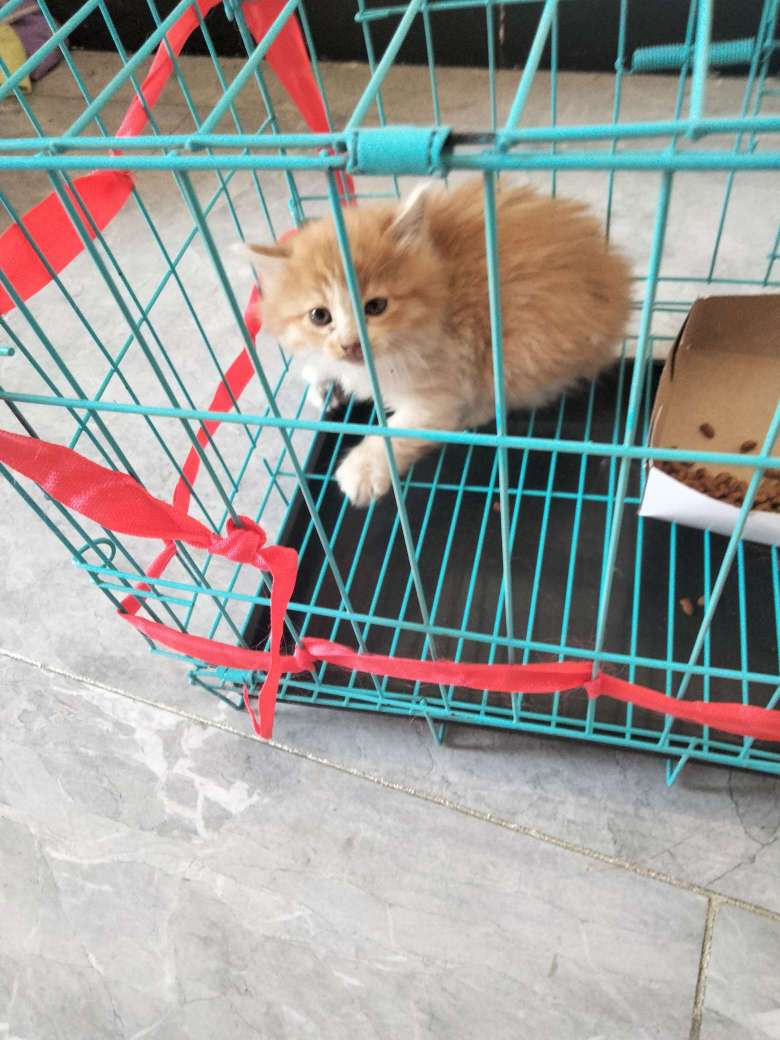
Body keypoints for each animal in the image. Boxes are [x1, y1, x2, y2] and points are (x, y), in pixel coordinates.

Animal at [243, 177, 632, 506]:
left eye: (376, 306)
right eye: (319, 316)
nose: (351, 345)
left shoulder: (443, 383)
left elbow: (403, 429)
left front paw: (362, 469)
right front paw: (323, 380)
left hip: (527, 345)